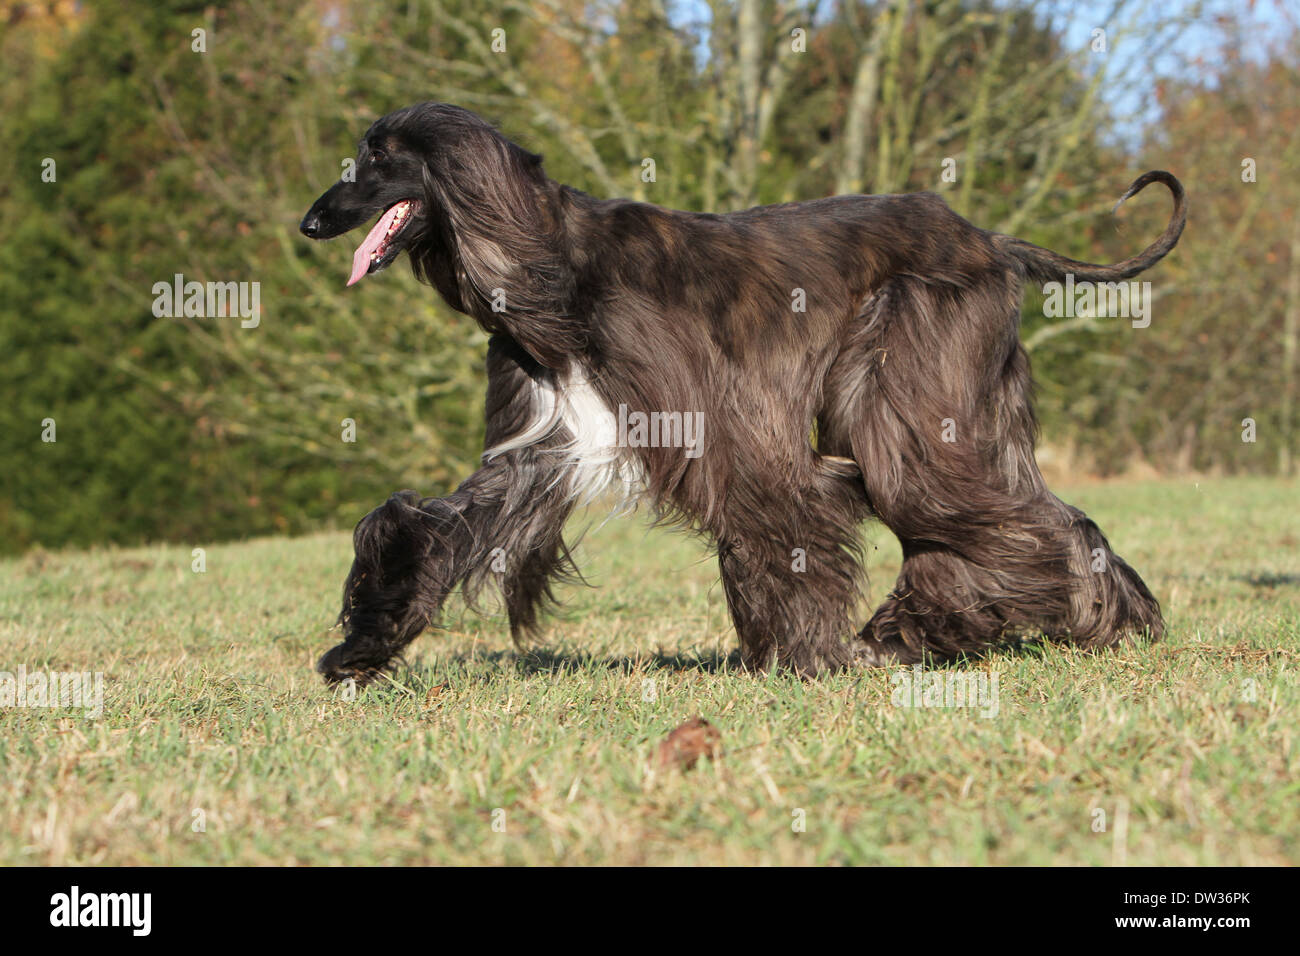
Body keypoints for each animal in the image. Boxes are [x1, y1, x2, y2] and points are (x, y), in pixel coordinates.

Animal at [299, 100, 1185, 686]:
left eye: (378, 156)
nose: (309, 222)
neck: (555, 270)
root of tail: (992, 240)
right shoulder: (546, 440)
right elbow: (446, 522)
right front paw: (362, 646)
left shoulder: (729, 427)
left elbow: (775, 513)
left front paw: (800, 657)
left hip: (914, 365)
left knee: (966, 503)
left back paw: (1082, 619)